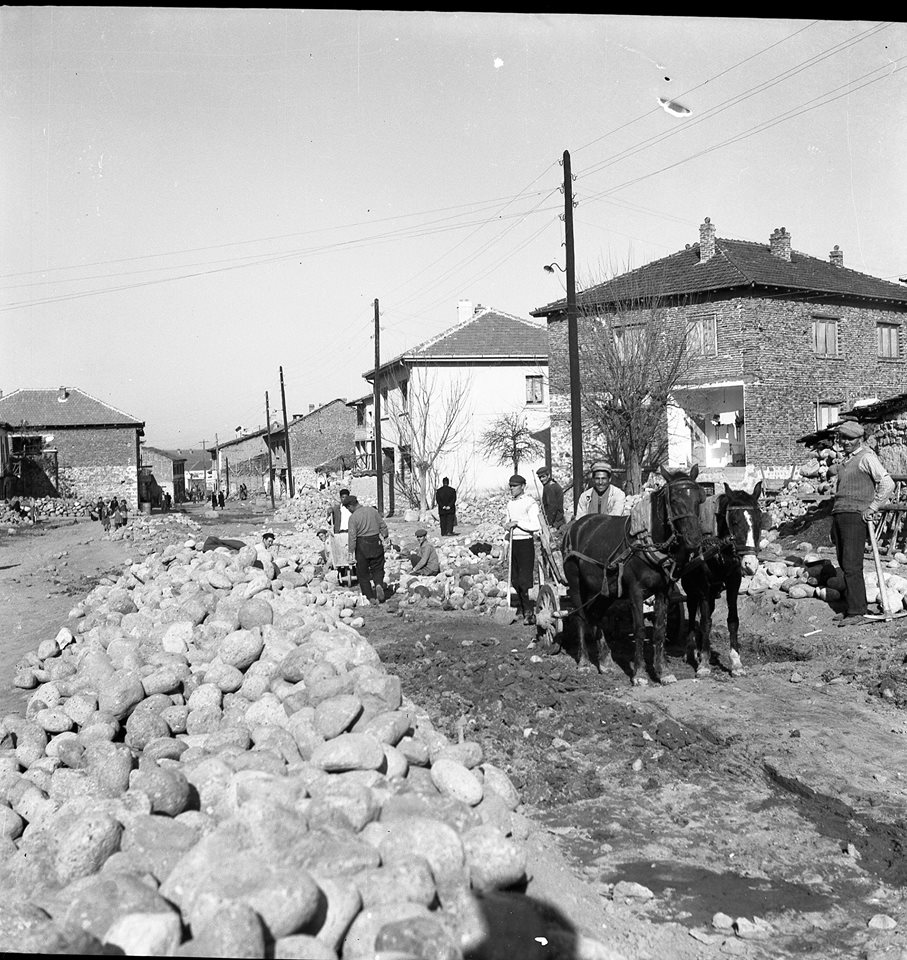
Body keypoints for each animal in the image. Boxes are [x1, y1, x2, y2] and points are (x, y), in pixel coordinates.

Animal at [564, 466, 704, 688]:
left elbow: (660, 629)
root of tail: (576, 526)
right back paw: (584, 661)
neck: (647, 541)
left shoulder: (663, 591)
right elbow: (639, 629)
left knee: (595, 615)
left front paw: (664, 672)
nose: (694, 540)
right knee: (580, 616)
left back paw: (605, 661)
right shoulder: (636, 591)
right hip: (576, 583)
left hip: (604, 590)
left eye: (699, 499)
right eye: (674, 500)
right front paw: (639, 673)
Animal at [684, 478, 764, 676]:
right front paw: (704, 663)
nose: (750, 564)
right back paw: (691, 649)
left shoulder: (733, 583)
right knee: (692, 612)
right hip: (691, 589)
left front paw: (736, 662)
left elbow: (733, 620)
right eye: (734, 521)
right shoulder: (703, 587)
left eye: (759, 521)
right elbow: (705, 622)